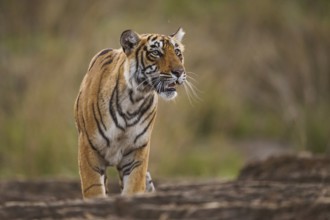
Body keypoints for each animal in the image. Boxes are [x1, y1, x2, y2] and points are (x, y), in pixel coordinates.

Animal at [75, 27, 187, 199]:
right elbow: (93, 190)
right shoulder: (88, 148)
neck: (134, 100)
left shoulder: (137, 151)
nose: (179, 72)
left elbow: (133, 187)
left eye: (177, 52)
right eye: (156, 53)